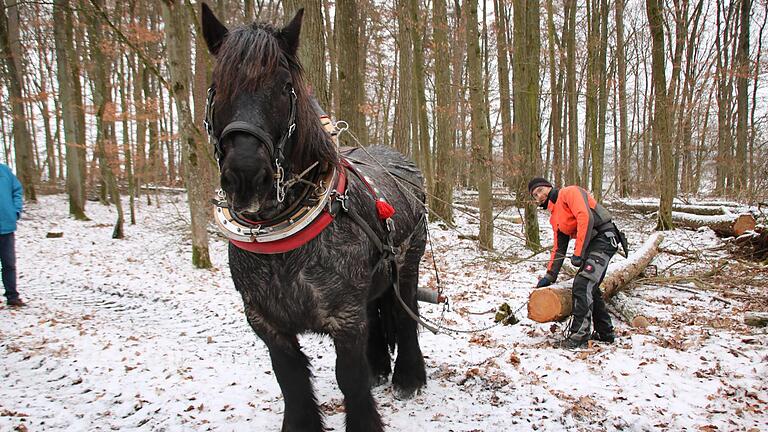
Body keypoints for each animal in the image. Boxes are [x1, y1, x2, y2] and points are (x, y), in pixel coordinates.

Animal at [201, 4, 428, 432]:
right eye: (217, 85)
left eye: (284, 85)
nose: (246, 175)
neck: (282, 239)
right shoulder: (267, 322)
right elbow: (290, 380)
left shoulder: (345, 317)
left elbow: (349, 379)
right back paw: (379, 369)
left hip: (407, 267)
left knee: (406, 315)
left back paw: (409, 377)